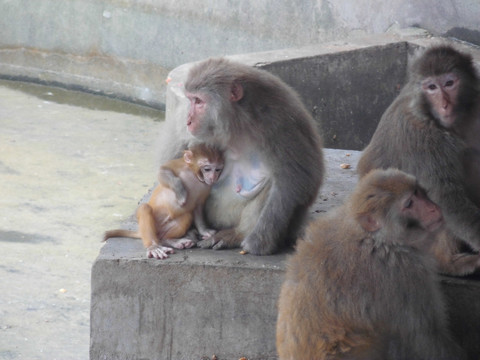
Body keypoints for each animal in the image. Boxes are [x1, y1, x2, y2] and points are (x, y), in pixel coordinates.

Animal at [278, 169, 464, 360]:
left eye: (418, 192)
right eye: (409, 203)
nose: (433, 208)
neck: (376, 239)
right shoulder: (404, 274)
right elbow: (425, 337)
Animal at [356, 45, 480, 276]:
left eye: (449, 83)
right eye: (431, 87)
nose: (444, 105)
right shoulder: (419, 134)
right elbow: (448, 198)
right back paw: (449, 262)